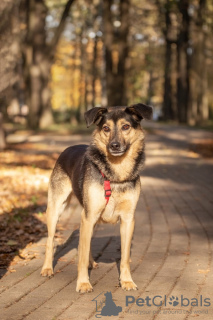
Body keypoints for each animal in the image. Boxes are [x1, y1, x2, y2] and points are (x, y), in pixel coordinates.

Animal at [40, 103, 152, 292]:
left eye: (126, 127)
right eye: (106, 128)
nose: (114, 145)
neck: (116, 173)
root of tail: (68, 148)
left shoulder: (127, 220)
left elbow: (124, 258)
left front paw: (127, 281)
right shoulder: (89, 216)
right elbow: (82, 256)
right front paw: (83, 283)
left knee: (86, 243)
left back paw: (92, 262)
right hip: (57, 209)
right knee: (51, 241)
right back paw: (47, 268)